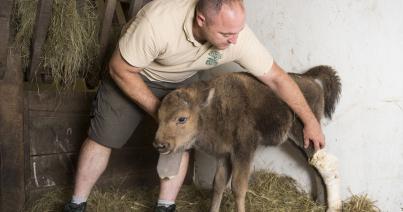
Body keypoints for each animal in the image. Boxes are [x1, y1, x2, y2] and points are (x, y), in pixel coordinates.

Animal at [154, 66, 340, 212]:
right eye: (159, 116)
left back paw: (331, 207)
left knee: (326, 166)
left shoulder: (243, 151)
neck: (213, 109)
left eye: (182, 118)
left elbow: (238, 187)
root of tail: (311, 81)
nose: (160, 144)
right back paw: (319, 202)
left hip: (305, 135)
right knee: (315, 167)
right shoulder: (223, 155)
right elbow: (218, 184)